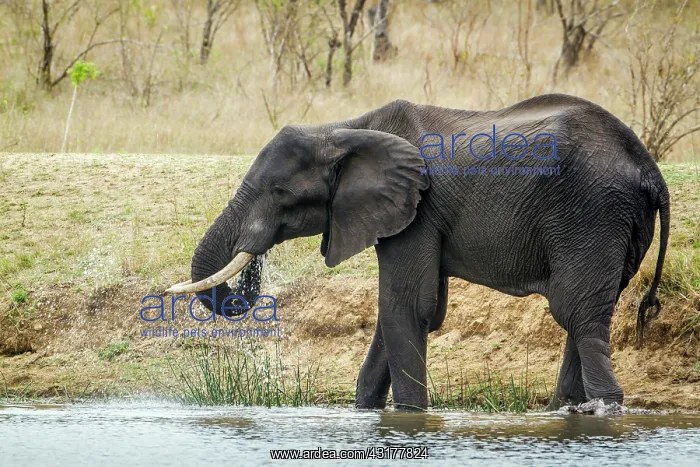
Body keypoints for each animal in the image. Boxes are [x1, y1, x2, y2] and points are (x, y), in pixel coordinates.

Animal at [166, 93, 670, 410]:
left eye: (279, 192)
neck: (343, 130)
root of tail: (649, 170)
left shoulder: (418, 208)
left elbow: (408, 307)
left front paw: (411, 417)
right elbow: (399, 311)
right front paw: (366, 410)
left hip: (590, 214)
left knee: (577, 313)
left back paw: (602, 408)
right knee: (586, 314)